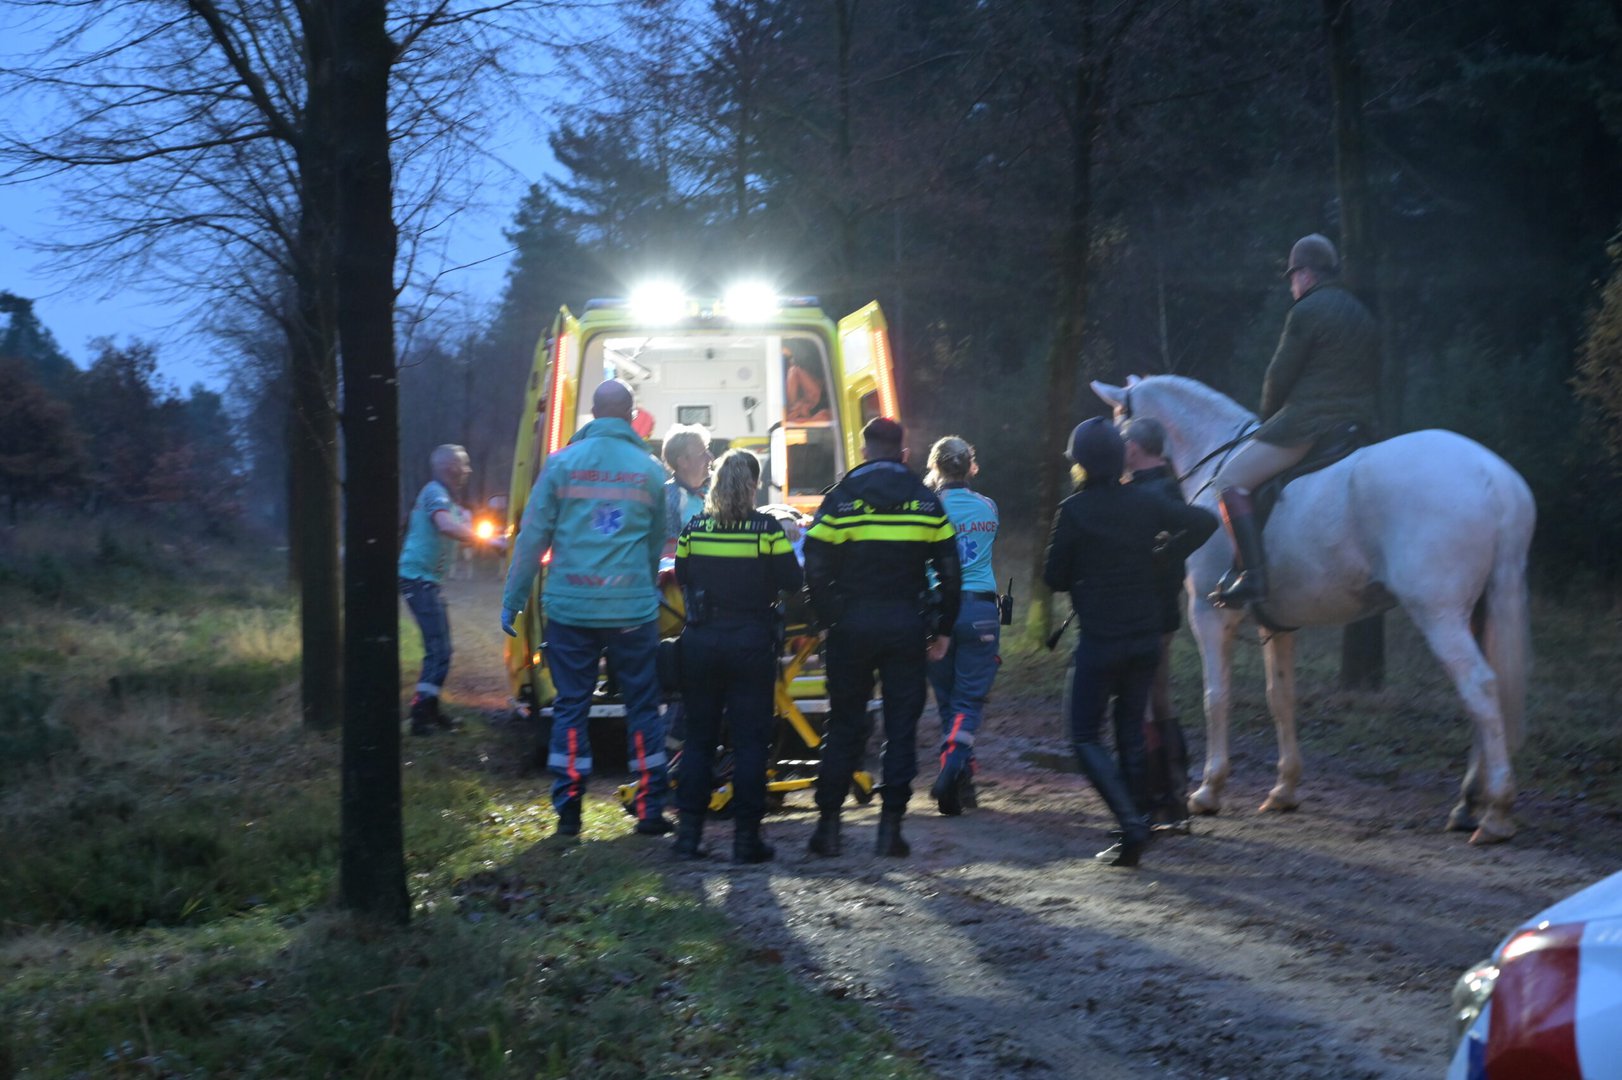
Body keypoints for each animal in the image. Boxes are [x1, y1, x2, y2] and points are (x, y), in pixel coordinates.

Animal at [1089, 374, 1531, 836]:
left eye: (1118, 423)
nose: (1116, 483)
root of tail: (1493, 475)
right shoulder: (1276, 624)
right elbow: (1280, 697)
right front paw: (1284, 789)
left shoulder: (1209, 616)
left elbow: (1217, 696)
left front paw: (1209, 790)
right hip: (1477, 614)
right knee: (1487, 694)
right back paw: (1469, 803)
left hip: (1439, 615)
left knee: (1480, 687)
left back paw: (1496, 811)